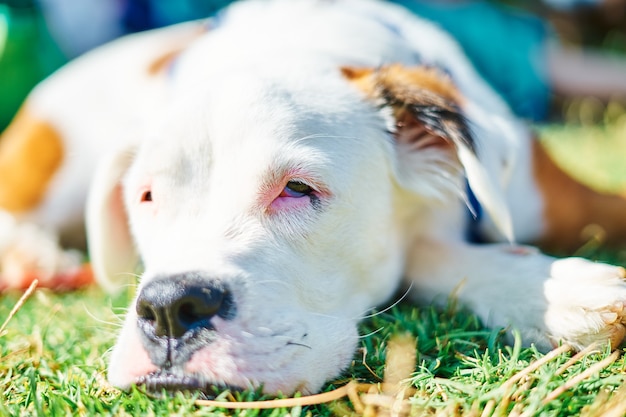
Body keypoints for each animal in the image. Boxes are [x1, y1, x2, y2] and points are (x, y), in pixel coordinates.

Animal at [1, 0, 624, 396]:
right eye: (147, 197)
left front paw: (559, 293)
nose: (170, 309)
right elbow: (424, 252)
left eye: (297, 189)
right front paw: (560, 292)